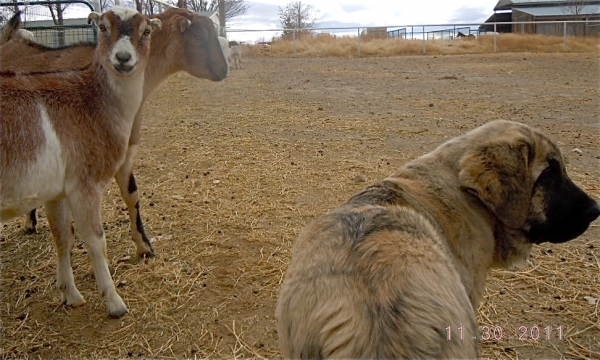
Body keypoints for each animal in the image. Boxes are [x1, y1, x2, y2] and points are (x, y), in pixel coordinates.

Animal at [0, 5, 162, 318]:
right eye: (102, 27)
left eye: (147, 30)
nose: (123, 58)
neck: (89, 102)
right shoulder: (84, 184)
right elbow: (96, 240)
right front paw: (115, 303)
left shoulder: (57, 190)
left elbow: (62, 235)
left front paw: (70, 295)